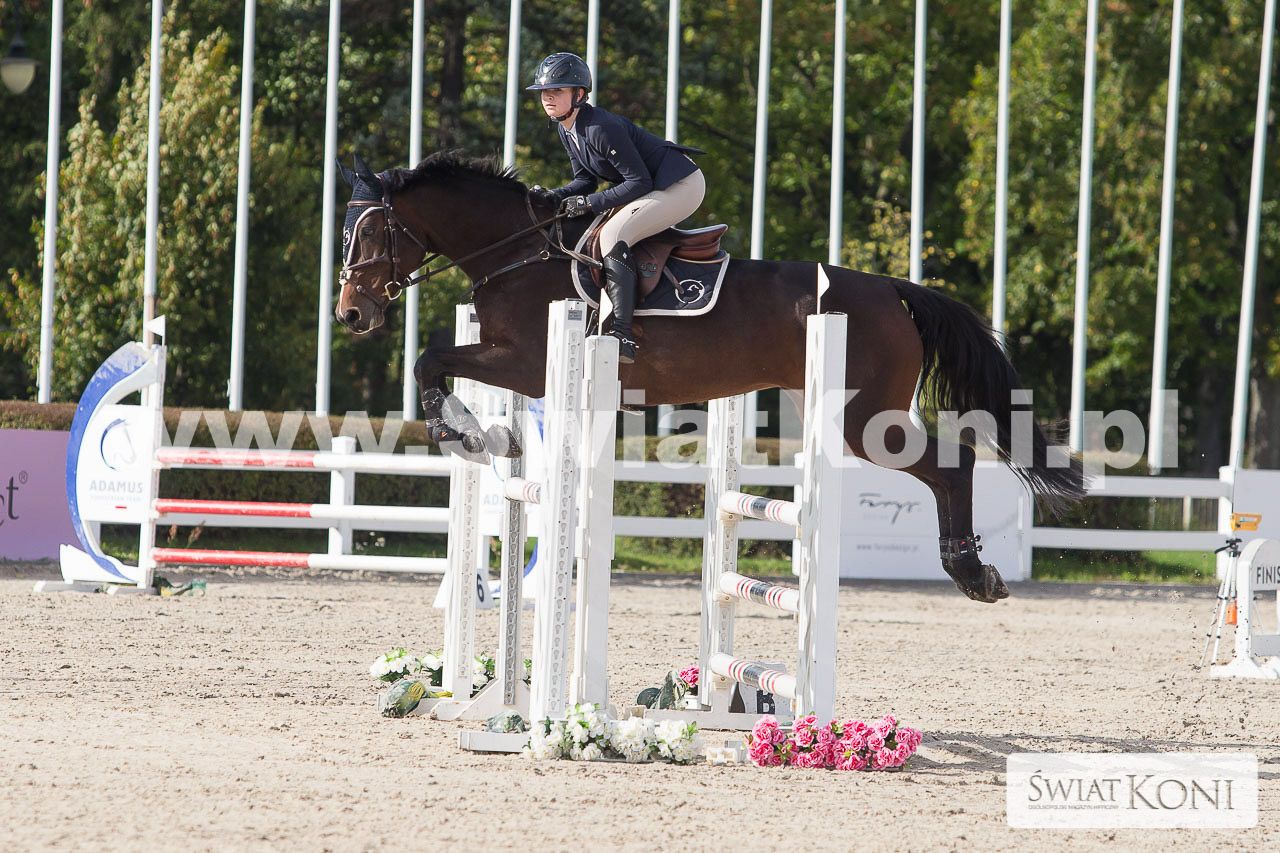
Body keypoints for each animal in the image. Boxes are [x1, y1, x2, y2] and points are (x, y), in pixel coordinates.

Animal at [333, 151, 1085, 604]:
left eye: (369, 234)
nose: (351, 313)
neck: (518, 253)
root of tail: (892, 290)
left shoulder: (522, 361)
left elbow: (430, 360)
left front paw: (458, 432)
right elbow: (437, 364)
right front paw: (487, 438)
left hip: (864, 419)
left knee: (950, 462)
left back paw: (971, 570)